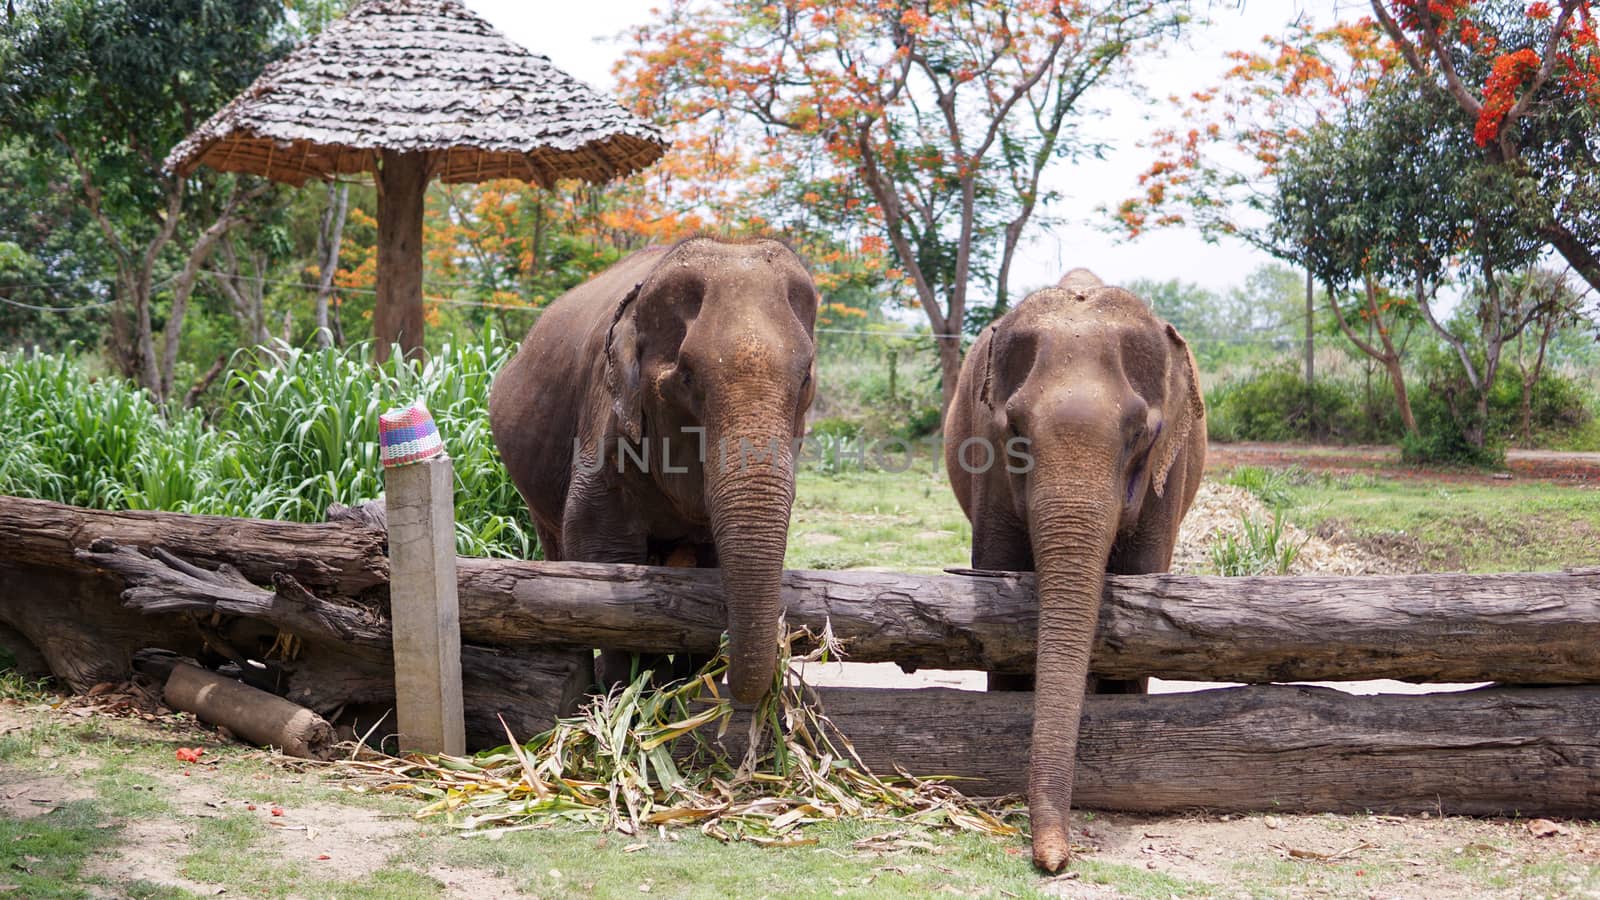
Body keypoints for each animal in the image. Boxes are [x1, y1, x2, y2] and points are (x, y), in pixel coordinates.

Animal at [486, 237, 819, 701]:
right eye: (687, 375)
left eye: (805, 377)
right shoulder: (604, 420)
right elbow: (598, 548)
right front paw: (625, 693)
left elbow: (708, 565)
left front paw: (681, 690)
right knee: (556, 551)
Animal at [934, 267, 1203, 871]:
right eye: (1015, 432)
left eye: (1140, 434)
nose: (1055, 861)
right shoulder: (986, 460)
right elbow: (995, 577)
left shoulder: (1167, 475)